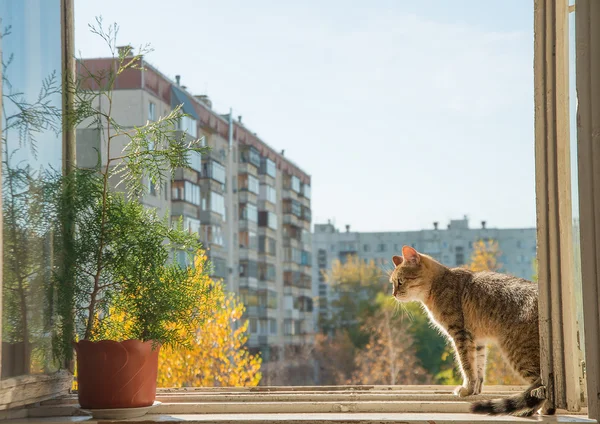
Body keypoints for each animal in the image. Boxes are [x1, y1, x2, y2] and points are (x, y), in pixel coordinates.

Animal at [390, 245, 552, 418]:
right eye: (392, 283)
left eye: (400, 281)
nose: (393, 294)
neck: (438, 283)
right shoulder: (477, 340)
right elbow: (478, 367)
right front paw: (474, 390)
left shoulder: (460, 334)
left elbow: (466, 365)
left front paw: (467, 388)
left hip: (519, 354)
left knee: (541, 389)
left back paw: (536, 410)